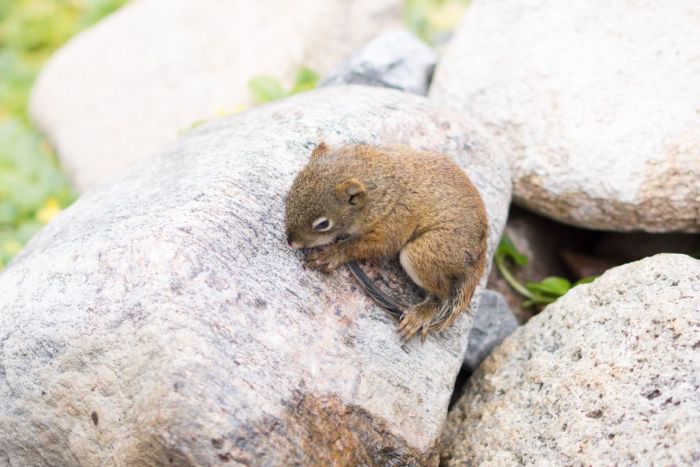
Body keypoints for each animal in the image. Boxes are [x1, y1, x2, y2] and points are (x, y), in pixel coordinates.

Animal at [284, 142, 486, 340]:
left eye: (323, 224)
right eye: (289, 195)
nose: (291, 242)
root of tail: (479, 260)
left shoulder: (394, 222)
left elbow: (370, 246)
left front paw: (331, 255)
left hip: (422, 253)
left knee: (442, 293)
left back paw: (421, 314)